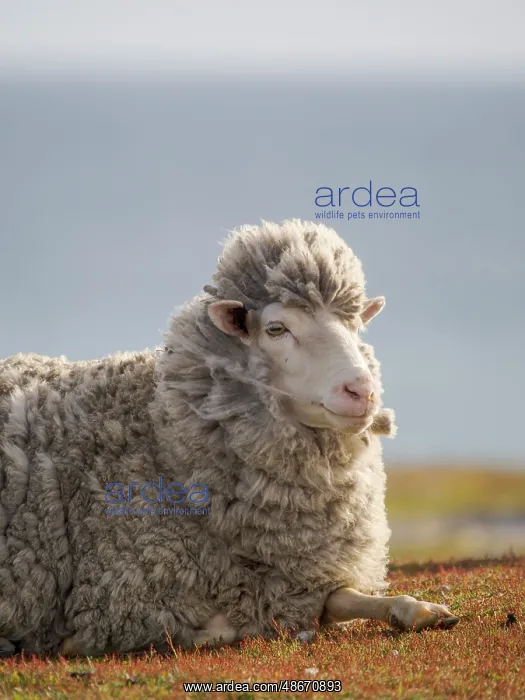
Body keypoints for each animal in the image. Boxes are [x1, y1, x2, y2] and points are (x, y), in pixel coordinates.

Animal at [0, 219, 459, 657]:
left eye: (354, 326)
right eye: (276, 328)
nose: (362, 392)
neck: (163, 439)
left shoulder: (297, 578)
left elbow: (342, 597)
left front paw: (421, 610)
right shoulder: (122, 597)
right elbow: (223, 627)